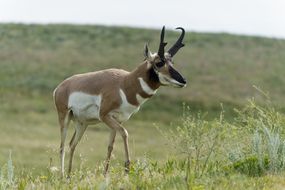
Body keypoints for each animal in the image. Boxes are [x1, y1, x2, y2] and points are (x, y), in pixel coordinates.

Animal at [53, 25, 186, 177]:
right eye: (159, 63)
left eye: (172, 62)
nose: (183, 81)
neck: (124, 83)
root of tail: (61, 86)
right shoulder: (105, 116)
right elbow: (125, 133)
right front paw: (127, 167)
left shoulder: (117, 120)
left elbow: (110, 146)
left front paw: (105, 175)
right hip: (64, 118)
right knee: (62, 146)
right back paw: (62, 176)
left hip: (82, 124)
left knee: (72, 144)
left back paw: (69, 176)